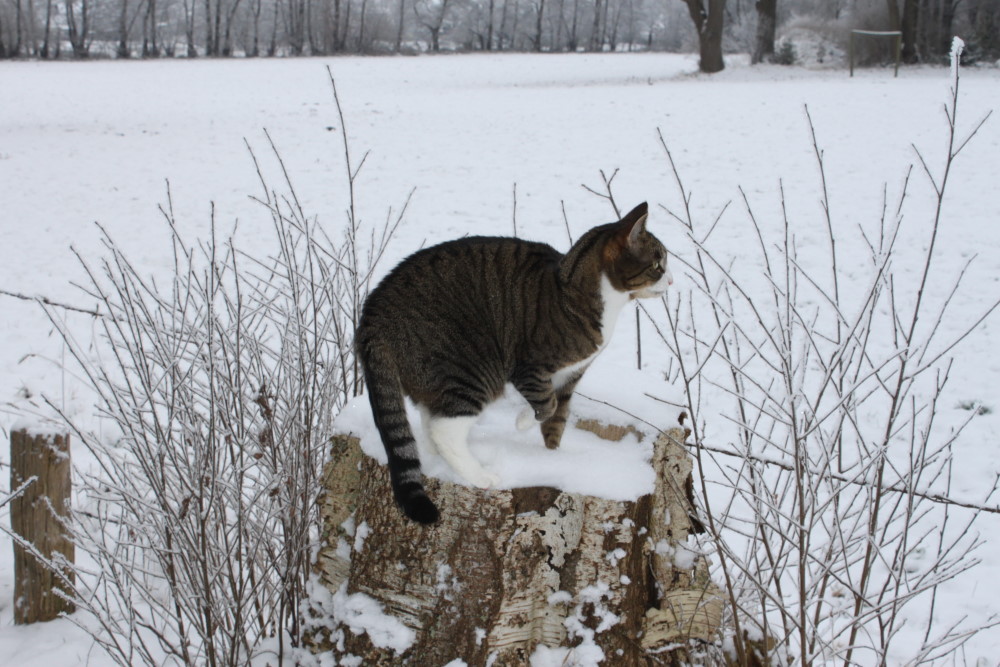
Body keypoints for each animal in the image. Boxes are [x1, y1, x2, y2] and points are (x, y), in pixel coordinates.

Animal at [358, 201, 672, 524]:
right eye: (657, 266)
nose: (671, 280)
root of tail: (373, 312)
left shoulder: (571, 377)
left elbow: (558, 419)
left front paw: (554, 458)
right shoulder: (530, 368)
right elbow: (547, 404)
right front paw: (524, 420)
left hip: (433, 375)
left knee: (431, 418)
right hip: (470, 369)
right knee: (445, 428)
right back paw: (480, 475)